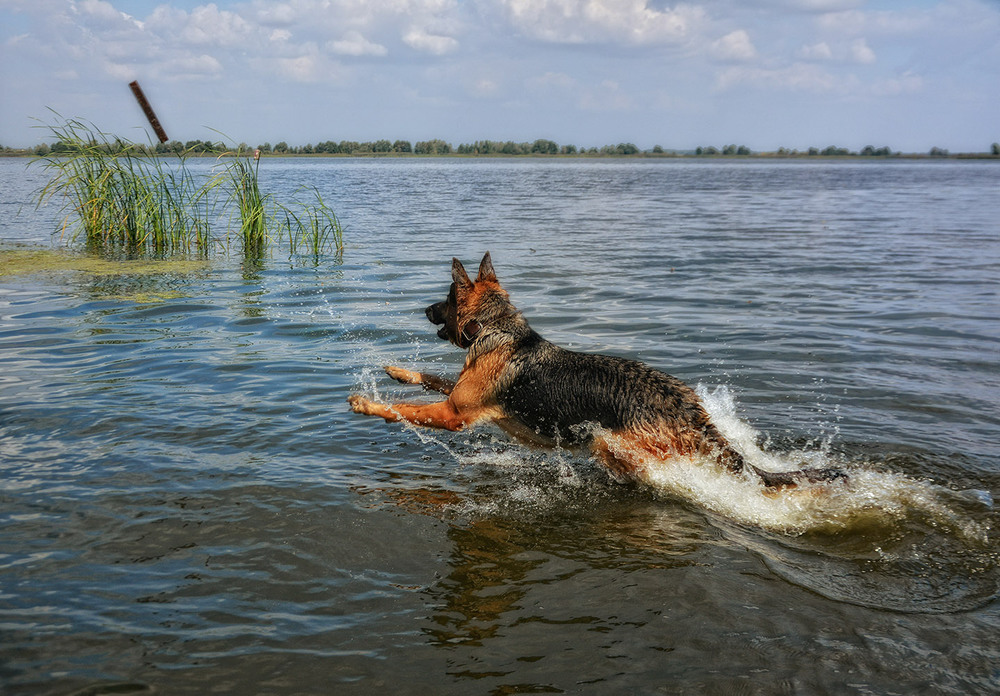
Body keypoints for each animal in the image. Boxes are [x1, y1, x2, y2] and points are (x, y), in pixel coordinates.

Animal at [348, 251, 848, 490]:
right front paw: (397, 371)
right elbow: (431, 377)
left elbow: (406, 410)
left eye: (446, 300)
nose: (425, 310)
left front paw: (367, 403)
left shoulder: (454, 415)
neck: (497, 327)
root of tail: (689, 407)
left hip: (613, 444)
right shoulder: (458, 394)